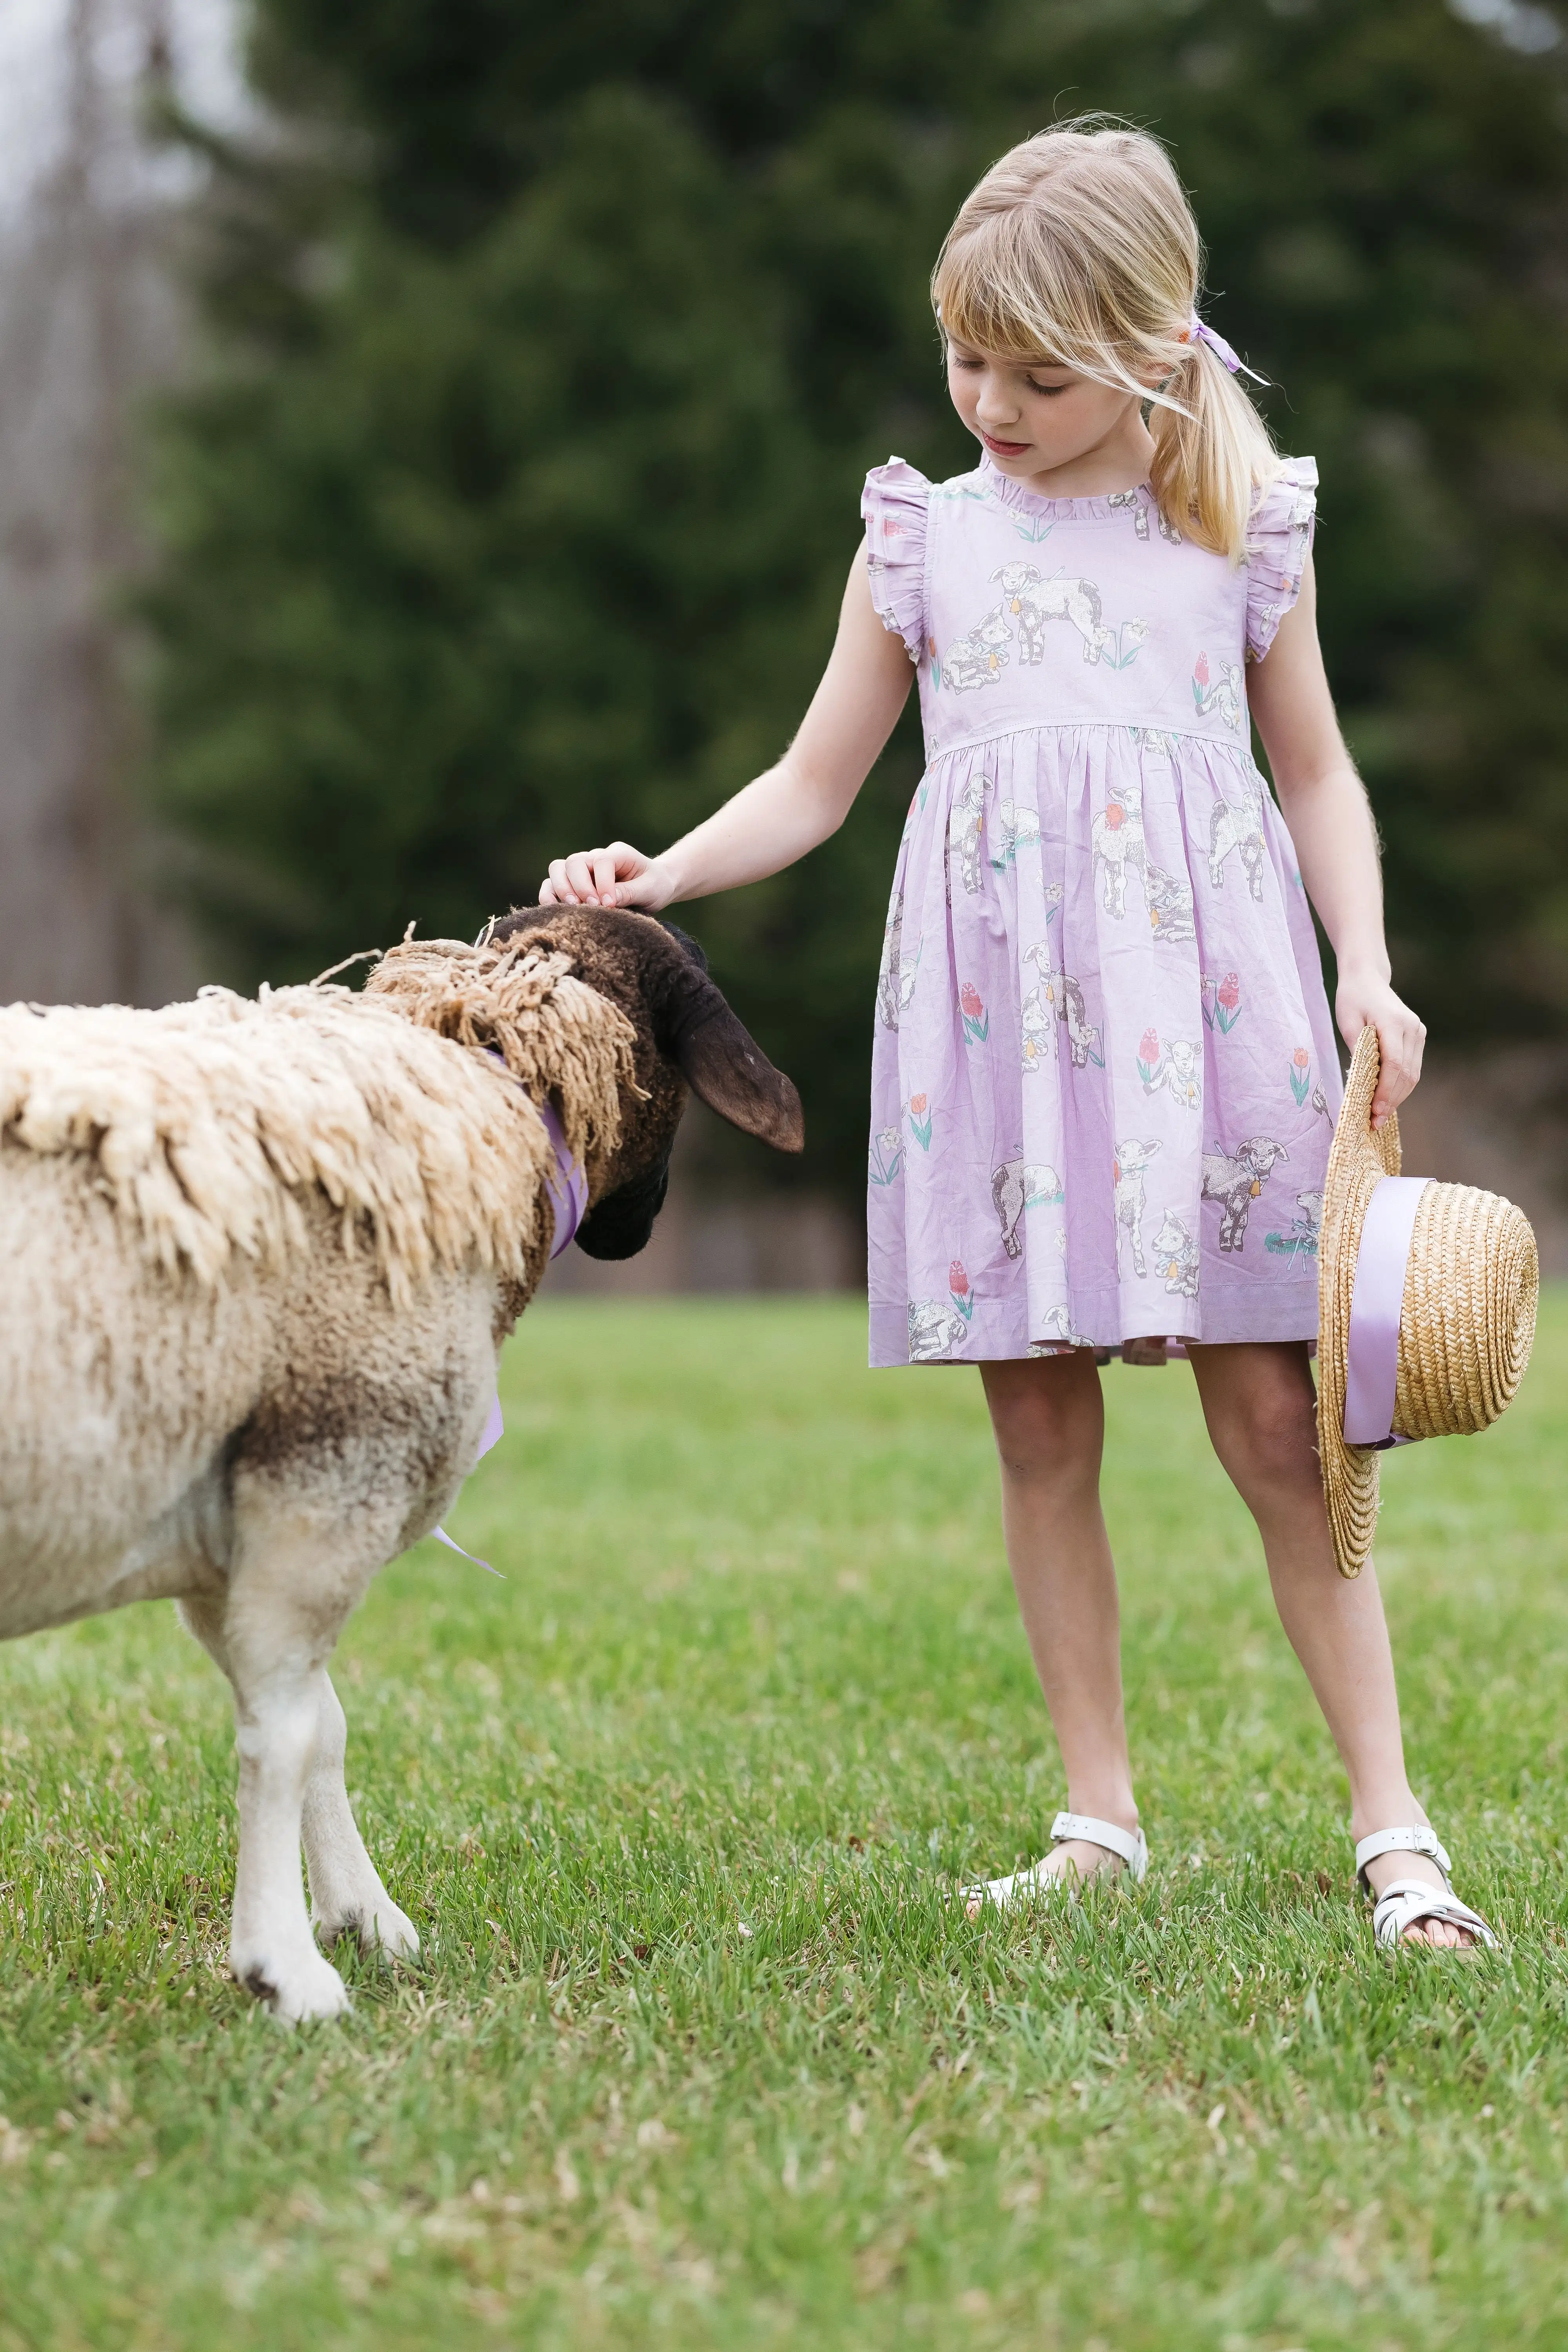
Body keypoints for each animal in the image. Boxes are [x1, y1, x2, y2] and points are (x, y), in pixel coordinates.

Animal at [0, 908, 804, 2013]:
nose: (641, 1232)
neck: (478, 1096)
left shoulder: (233, 1521)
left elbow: (320, 1720)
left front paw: (363, 1917)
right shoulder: (330, 1467)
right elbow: (284, 1736)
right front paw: (287, 1969)